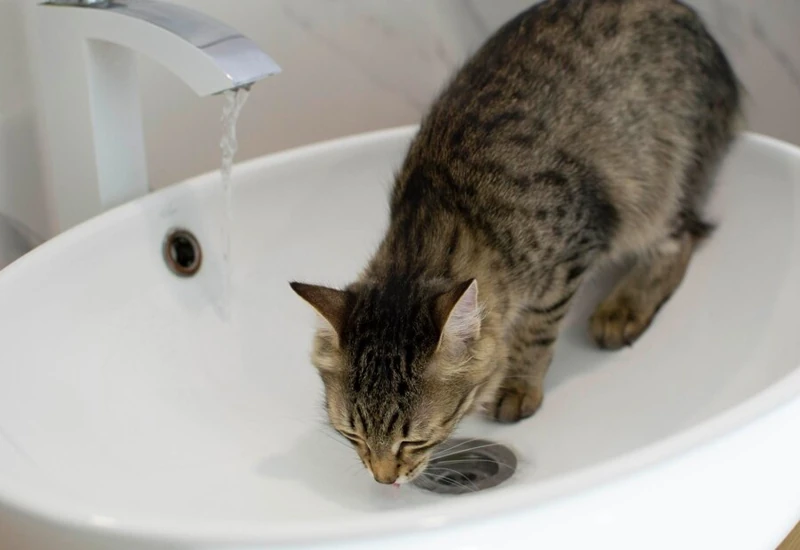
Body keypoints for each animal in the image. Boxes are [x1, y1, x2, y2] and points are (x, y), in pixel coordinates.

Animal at [290, 0, 740, 486]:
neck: (444, 217)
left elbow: (536, 330)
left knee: (683, 238)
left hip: (660, 188)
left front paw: (518, 384)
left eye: (414, 441)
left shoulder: (570, 253)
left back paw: (622, 308)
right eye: (352, 435)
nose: (384, 479)